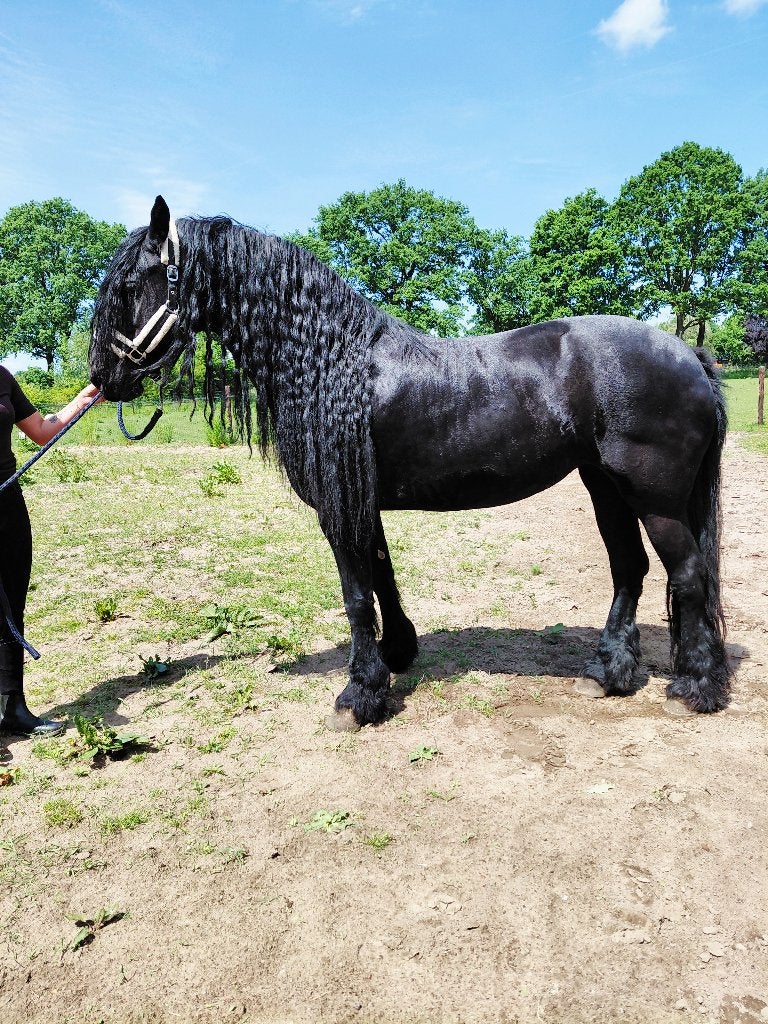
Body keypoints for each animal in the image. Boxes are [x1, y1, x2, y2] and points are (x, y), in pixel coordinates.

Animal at [89, 195, 731, 731]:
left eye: (131, 282)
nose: (102, 376)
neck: (330, 356)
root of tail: (690, 355)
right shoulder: (361, 501)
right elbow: (382, 577)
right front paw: (396, 656)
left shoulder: (339, 507)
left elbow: (355, 595)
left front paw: (358, 696)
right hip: (606, 488)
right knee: (630, 571)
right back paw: (611, 674)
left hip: (653, 498)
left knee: (687, 574)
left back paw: (695, 687)